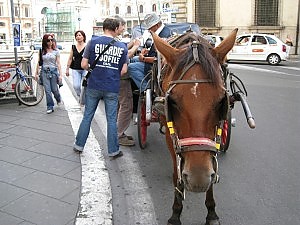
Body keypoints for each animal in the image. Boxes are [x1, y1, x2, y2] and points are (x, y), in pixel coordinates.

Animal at [151, 28, 238, 225]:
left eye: (221, 101)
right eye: (173, 103)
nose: (198, 178)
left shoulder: (215, 137)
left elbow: (213, 166)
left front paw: (211, 212)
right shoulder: (171, 134)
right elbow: (177, 174)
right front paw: (176, 213)